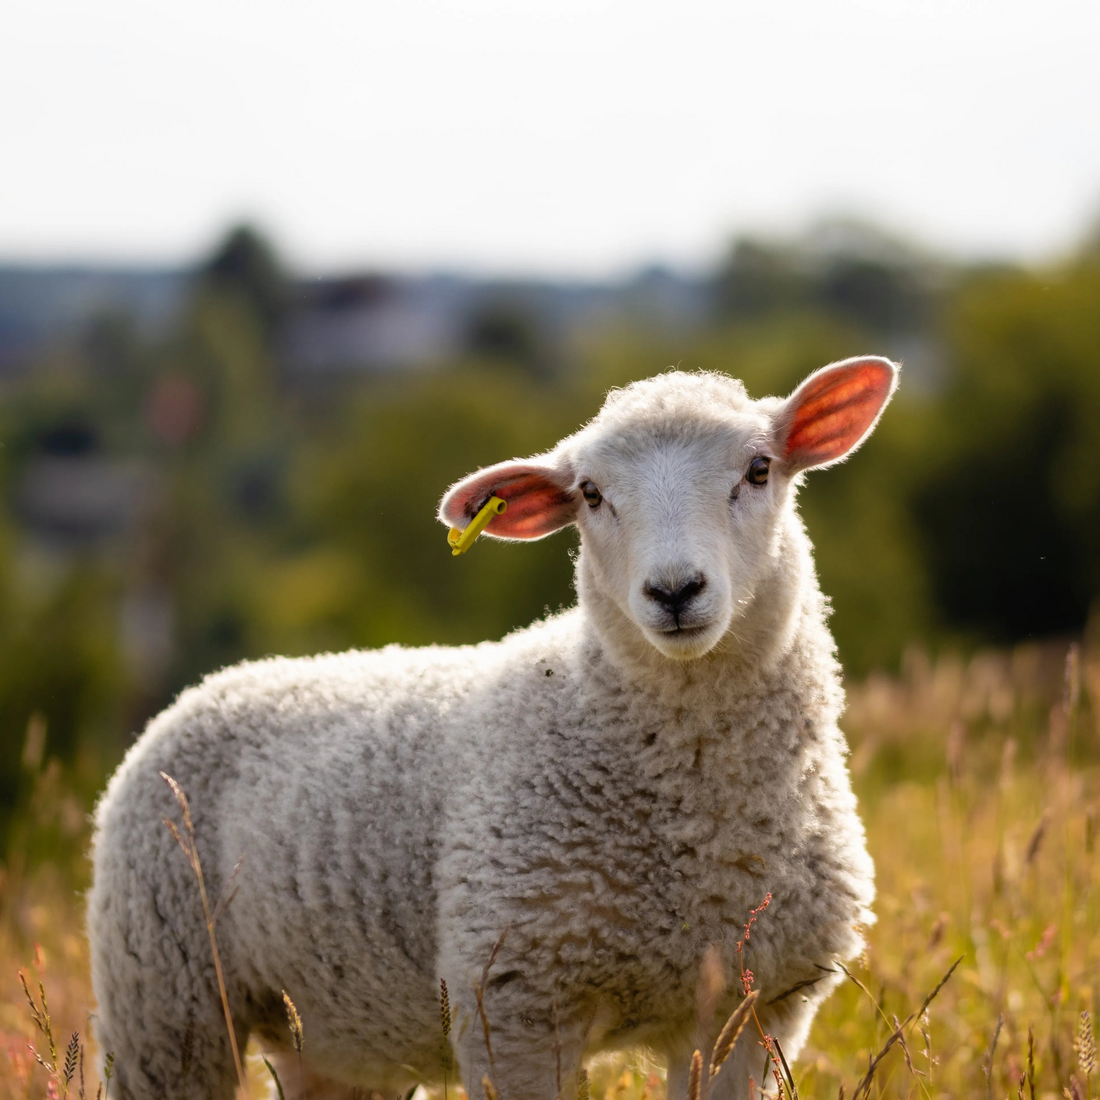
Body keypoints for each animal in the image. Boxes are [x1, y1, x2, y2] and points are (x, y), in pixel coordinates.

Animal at [87, 355, 897, 1100]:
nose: (674, 591)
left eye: (759, 470)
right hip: (166, 1007)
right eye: (591, 494)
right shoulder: (512, 1005)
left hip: (329, 1034)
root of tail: (209, 686)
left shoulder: (750, 1012)